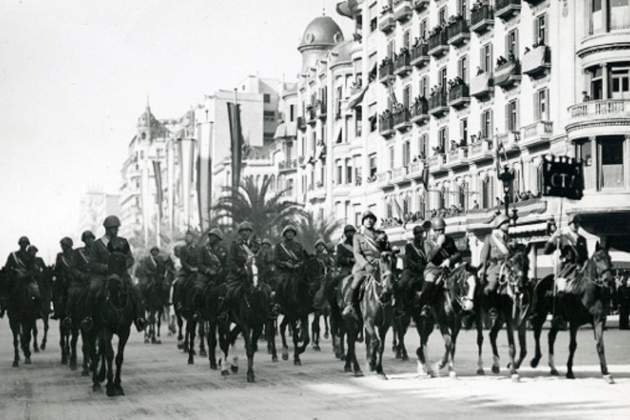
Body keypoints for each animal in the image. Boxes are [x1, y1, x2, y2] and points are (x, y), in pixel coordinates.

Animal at [218, 254, 270, 382]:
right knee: (223, 342)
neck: (254, 300)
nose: (256, 287)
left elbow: (252, 347)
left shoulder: (258, 326)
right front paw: (250, 374)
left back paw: (233, 365)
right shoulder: (246, 326)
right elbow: (249, 349)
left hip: (237, 325)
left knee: (230, 338)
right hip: (223, 323)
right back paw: (224, 368)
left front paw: (250, 371)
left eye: (261, 265)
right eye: (247, 268)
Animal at [532, 246, 620, 384]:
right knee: (537, 332)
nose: (609, 280)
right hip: (541, 313)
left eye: (610, 258)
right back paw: (535, 360)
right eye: (597, 259)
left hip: (558, 319)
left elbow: (600, 345)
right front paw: (569, 371)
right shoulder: (574, 323)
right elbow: (572, 345)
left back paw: (553, 367)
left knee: (551, 336)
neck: (588, 293)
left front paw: (606, 373)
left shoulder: (599, 321)